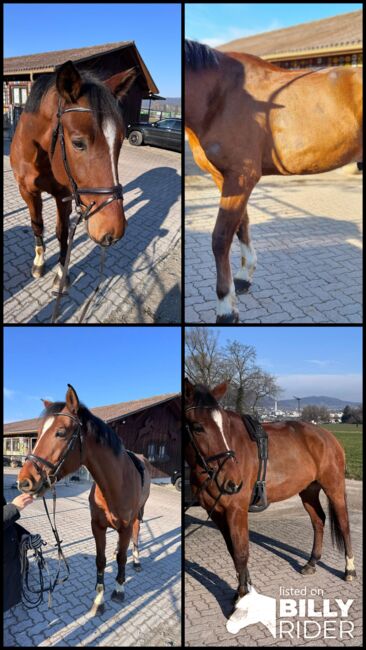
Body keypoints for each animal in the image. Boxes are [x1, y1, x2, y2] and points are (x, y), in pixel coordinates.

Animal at [11, 58, 137, 292]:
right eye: (78, 143)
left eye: (120, 140)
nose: (113, 231)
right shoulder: (27, 191)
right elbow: (37, 224)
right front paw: (39, 262)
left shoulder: (63, 196)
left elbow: (62, 232)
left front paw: (62, 274)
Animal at [16, 384, 152, 612]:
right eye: (38, 434)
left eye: (61, 432)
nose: (24, 481)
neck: (115, 484)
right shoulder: (97, 526)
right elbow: (101, 560)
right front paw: (99, 599)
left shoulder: (124, 526)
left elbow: (121, 558)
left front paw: (119, 590)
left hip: (138, 514)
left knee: (135, 533)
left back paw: (137, 561)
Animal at [184, 380, 356, 604]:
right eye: (197, 427)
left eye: (226, 426)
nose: (233, 482)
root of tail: (326, 436)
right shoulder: (217, 512)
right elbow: (233, 550)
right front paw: (245, 588)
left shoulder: (236, 510)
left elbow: (241, 551)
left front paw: (243, 595)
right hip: (308, 491)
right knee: (318, 520)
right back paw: (311, 563)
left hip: (333, 487)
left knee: (344, 524)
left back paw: (349, 569)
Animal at [186, 40, 364, 322]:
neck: (220, 95)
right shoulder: (224, 178)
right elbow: (242, 225)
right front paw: (243, 278)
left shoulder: (241, 176)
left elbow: (221, 238)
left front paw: (226, 307)